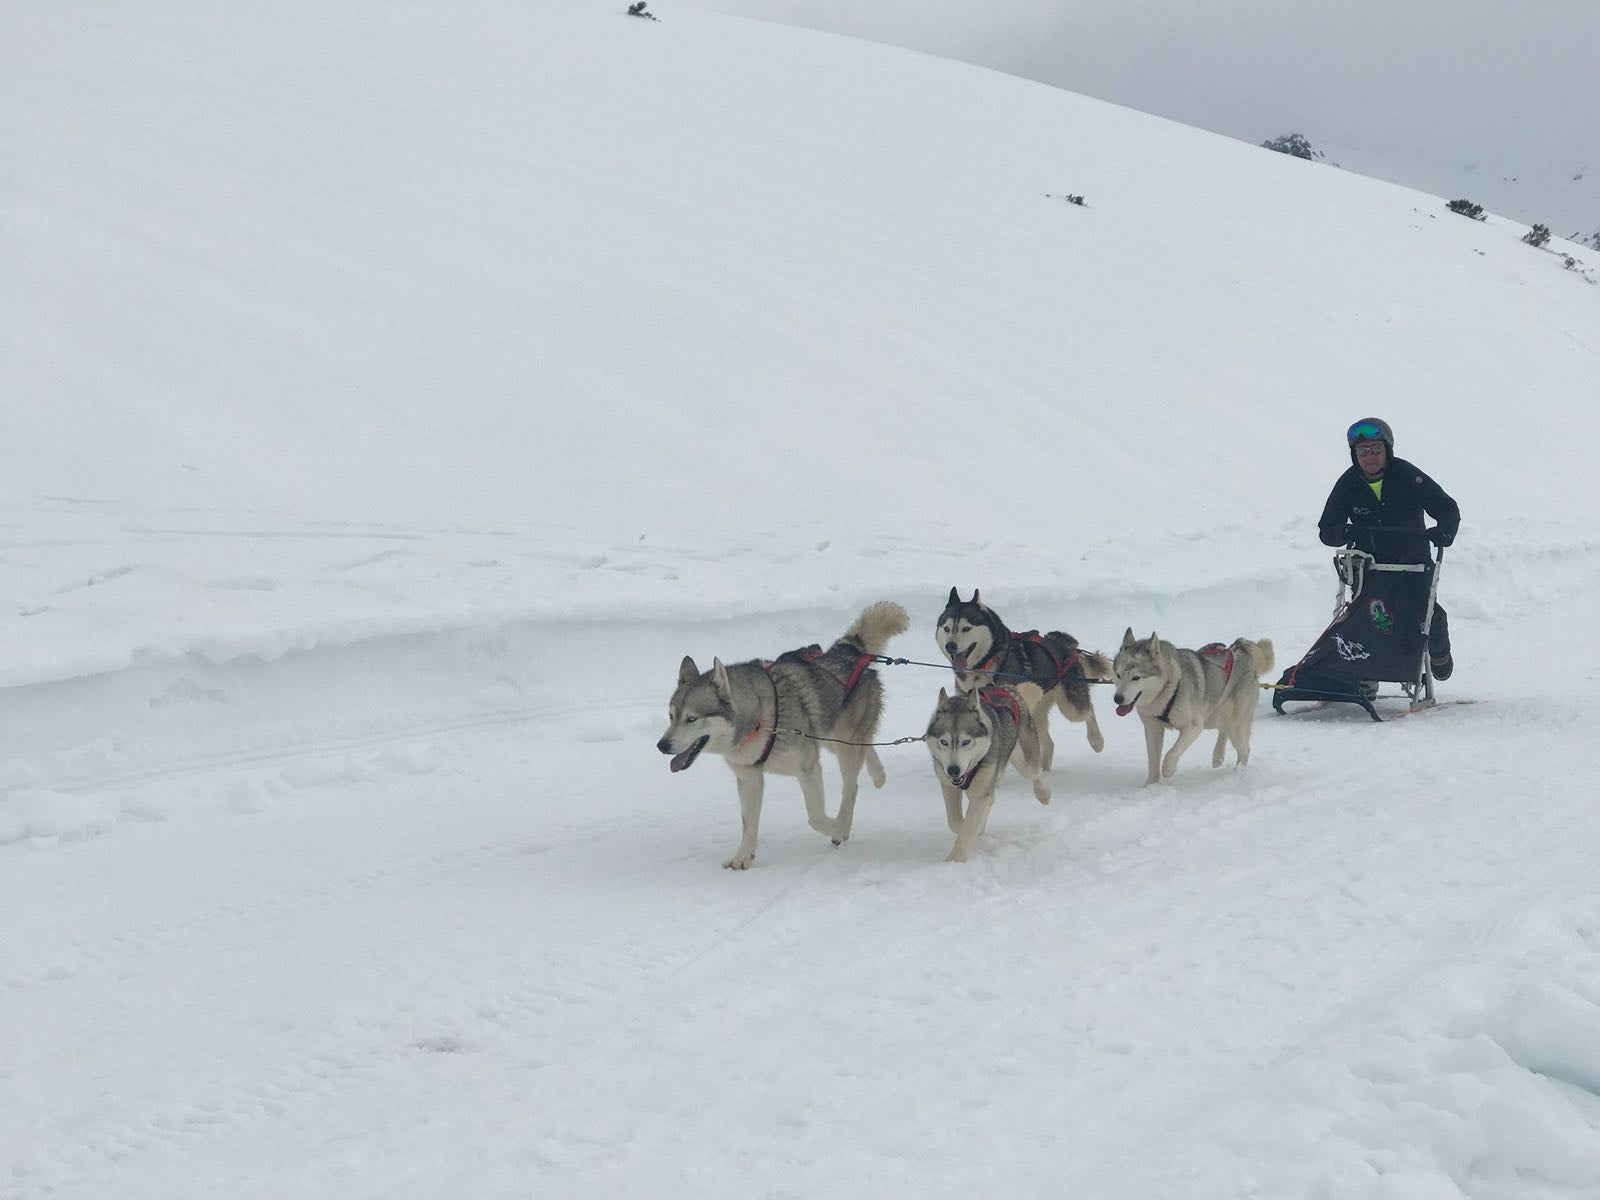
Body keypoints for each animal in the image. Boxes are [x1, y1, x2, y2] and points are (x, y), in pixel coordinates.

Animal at [656, 604, 908, 870]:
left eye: (691, 718)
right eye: (671, 716)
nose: (662, 745)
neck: (758, 722)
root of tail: (848, 650)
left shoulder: (807, 769)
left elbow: (815, 818)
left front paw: (837, 828)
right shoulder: (749, 779)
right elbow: (748, 825)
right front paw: (743, 857)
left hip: (842, 744)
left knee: (851, 786)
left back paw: (846, 820)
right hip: (831, 737)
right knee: (865, 745)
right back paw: (878, 774)